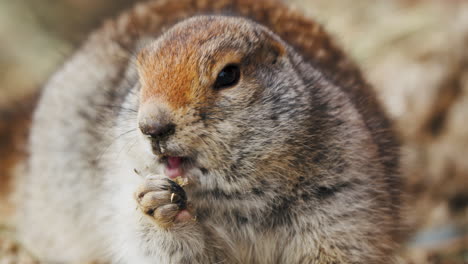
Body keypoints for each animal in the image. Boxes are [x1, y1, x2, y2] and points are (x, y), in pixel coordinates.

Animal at [12, 0, 402, 262]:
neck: (238, 200)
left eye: (228, 75)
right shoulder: (122, 191)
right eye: (139, 78)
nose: (151, 127)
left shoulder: (344, 196)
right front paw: (157, 204)